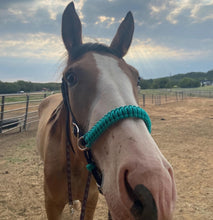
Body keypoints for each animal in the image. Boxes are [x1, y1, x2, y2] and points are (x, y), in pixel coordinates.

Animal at [36, 2, 176, 220]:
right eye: (71, 77)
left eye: (137, 78)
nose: (155, 189)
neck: (75, 165)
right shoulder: (51, 205)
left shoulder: (91, 200)